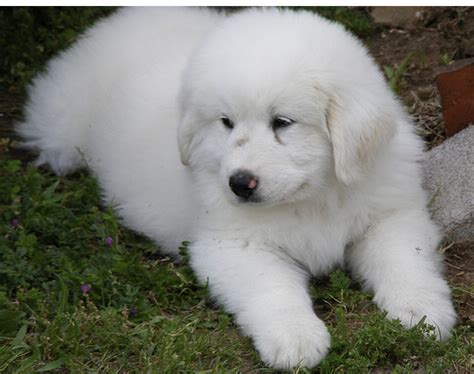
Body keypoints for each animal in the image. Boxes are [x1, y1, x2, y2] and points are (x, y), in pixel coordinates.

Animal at [17, 7, 456, 370]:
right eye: (226, 122)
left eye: (282, 122)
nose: (240, 184)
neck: (311, 197)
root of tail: (122, 19)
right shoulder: (231, 246)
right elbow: (272, 288)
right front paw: (295, 339)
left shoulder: (391, 213)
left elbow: (404, 260)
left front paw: (422, 312)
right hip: (63, 128)